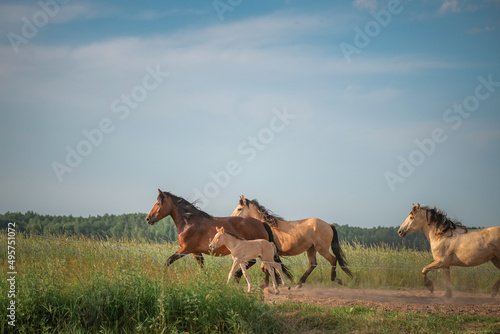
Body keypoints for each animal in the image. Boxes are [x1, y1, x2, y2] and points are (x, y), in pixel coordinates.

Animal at [145, 189, 292, 284]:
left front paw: (161, 275)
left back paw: (239, 277)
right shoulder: (195, 252)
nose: (148, 219)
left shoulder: (185, 250)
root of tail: (261, 223)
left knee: (255, 263)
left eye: (158, 203)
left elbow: (168, 261)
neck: (188, 222)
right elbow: (202, 267)